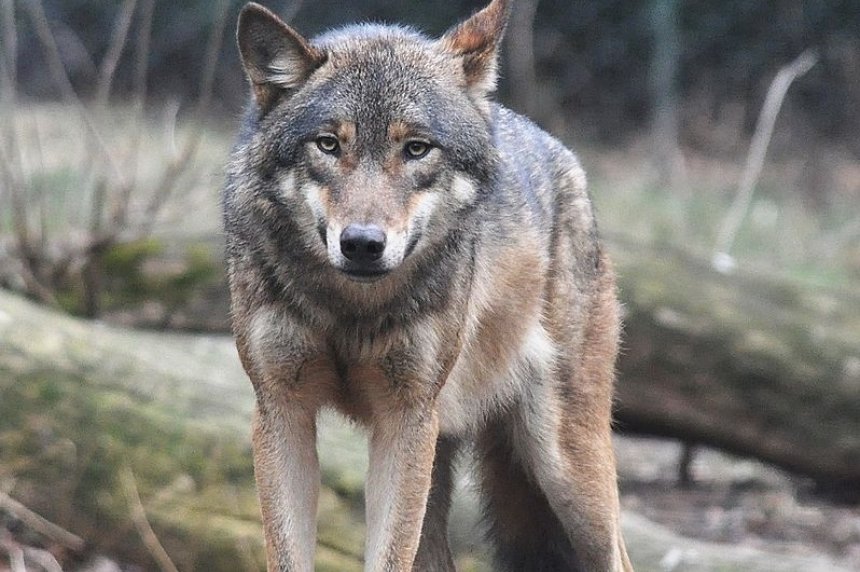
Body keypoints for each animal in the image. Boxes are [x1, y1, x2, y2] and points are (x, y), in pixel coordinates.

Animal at [224, 0, 633, 570]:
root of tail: (564, 157)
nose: (362, 244)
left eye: (416, 149)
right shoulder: (282, 411)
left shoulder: (405, 420)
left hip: (566, 469)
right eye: (328, 144)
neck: (351, 310)